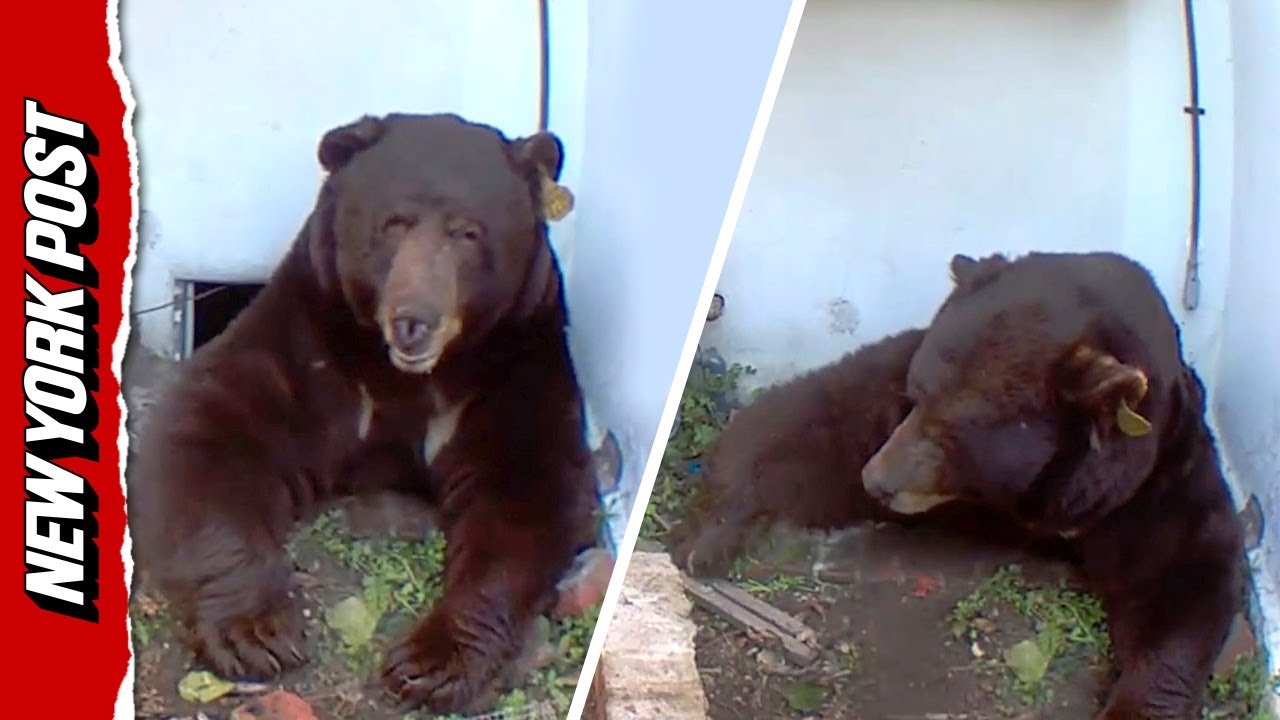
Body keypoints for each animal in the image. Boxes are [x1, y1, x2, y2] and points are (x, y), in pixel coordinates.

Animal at [127, 113, 600, 714]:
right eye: (394, 223)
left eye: (469, 233)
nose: (414, 320)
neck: (406, 375)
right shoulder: (308, 342)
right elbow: (210, 429)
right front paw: (258, 631)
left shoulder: (515, 365)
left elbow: (527, 493)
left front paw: (430, 662)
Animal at [673, 251, 1245, 720]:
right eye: (917, 394)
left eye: (951, 431)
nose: (877, 480)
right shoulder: (890, 400)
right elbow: (818, 417)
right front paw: (711, 529)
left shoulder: (1151, 484)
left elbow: (1185, 580)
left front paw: (1139, 701)